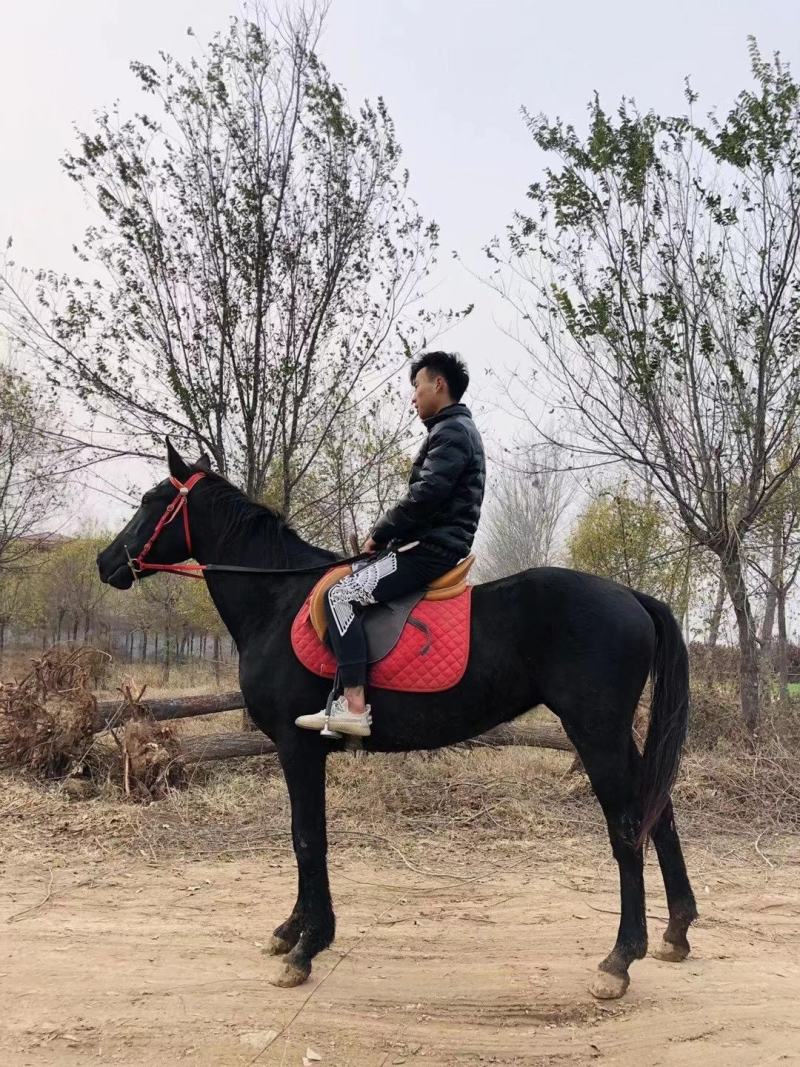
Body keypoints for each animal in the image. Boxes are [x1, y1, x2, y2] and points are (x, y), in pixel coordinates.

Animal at [97, 441, 697, 1000]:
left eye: (151, 501)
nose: (105, 563)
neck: (279, 599)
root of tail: (632, 597)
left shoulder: (297, 747)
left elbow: (307, 838)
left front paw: (308, 947)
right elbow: (303, 837)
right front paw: (292, 932)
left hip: (596, 733)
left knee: (627, 827)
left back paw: (620, 960)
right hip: (615, 736)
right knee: (659, 813)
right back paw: (677, 932)